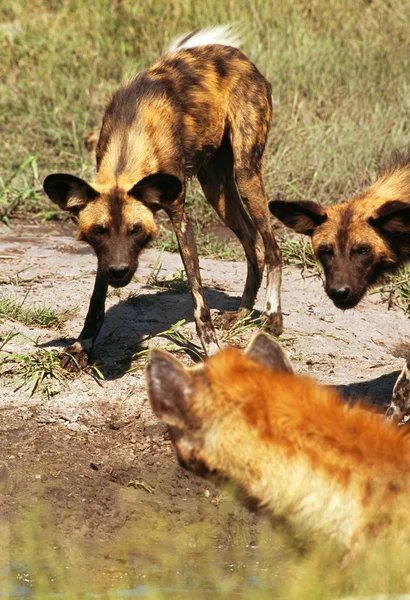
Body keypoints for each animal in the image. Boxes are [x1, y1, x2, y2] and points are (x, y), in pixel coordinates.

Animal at [43, 27, 284, 370]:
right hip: (216, 188)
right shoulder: (106, 253)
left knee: (272, 248)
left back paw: (272, 317)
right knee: (254, 246)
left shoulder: (180, 216)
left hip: (245, 174)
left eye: (136, 231)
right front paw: (82, 345)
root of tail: (238, 55)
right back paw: (241, 313)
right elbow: (96, 300)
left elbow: (198, 299)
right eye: (99, 231)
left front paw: (211, 350)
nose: (119, 271)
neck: (131, 137)